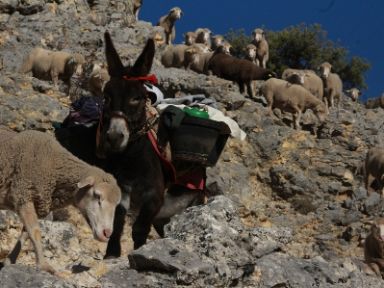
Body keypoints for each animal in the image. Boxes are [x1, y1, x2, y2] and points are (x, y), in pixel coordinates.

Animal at [0, 127, 121, 274]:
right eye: (97, 196)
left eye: (117, 204)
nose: (107, 233)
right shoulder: (23, 195)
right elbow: (35, 231)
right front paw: (44, 266)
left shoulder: (36, 204)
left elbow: (26, 233)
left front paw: (9, 261)